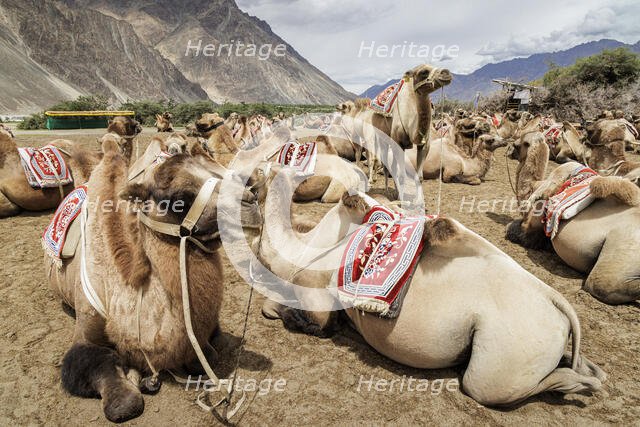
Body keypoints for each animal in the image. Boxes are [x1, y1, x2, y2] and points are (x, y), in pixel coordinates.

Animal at [45, 137, 261, 422]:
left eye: (216, 171)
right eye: (178, 198)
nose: (250, 201)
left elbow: (210, 351)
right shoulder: (86, 330)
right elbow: (123, 401)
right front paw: (134, 380)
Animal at [252, 171, 605, 406]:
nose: (251, 186)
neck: (300, 248)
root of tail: (555, 300)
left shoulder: (317, 300)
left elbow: (279, 311)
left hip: (503, 359)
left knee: (490, 387)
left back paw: (583, 385)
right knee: (576, 364)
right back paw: (593, 374)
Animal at [506, 136, 640, 304]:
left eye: (518, 144)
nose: (508, 151)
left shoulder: (531, 228)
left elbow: (514, 229)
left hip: (623, 248)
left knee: (601, 284)